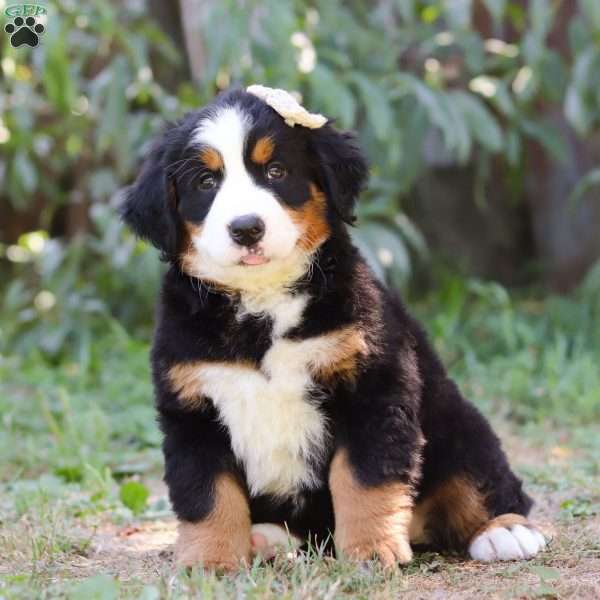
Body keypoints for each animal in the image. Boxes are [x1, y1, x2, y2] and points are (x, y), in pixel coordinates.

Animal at [120, 86, 544, 568]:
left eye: (276, 171)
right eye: (206, 183)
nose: (246, 228)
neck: (262, 308)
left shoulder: (373, 386)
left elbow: (363, 479)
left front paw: (371, 550)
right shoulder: (192, 407)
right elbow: (207, 492)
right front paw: (209, 562)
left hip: (456, 421)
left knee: (479, 477)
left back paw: (504, 530)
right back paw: (267, 538)